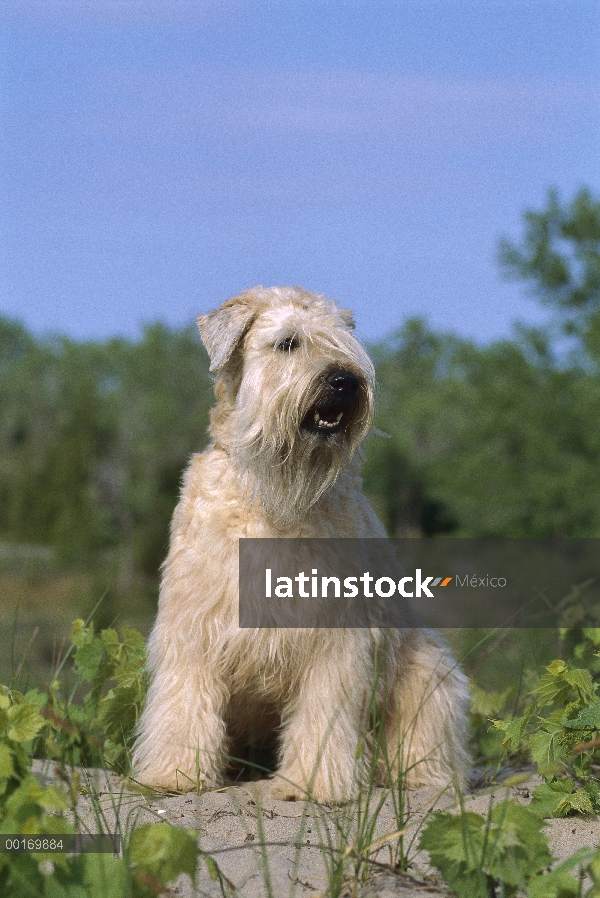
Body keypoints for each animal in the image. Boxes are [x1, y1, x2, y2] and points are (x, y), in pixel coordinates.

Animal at [134, 288, 472, 800]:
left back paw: (416, 776)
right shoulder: (194, 623)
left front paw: (311, 783)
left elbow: (323, 711)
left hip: (426, 668)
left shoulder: (335, 636)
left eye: (342, 341)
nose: (344, 381)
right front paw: (173, 773)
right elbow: (183, 701)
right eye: (288, 343)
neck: (271, 499)